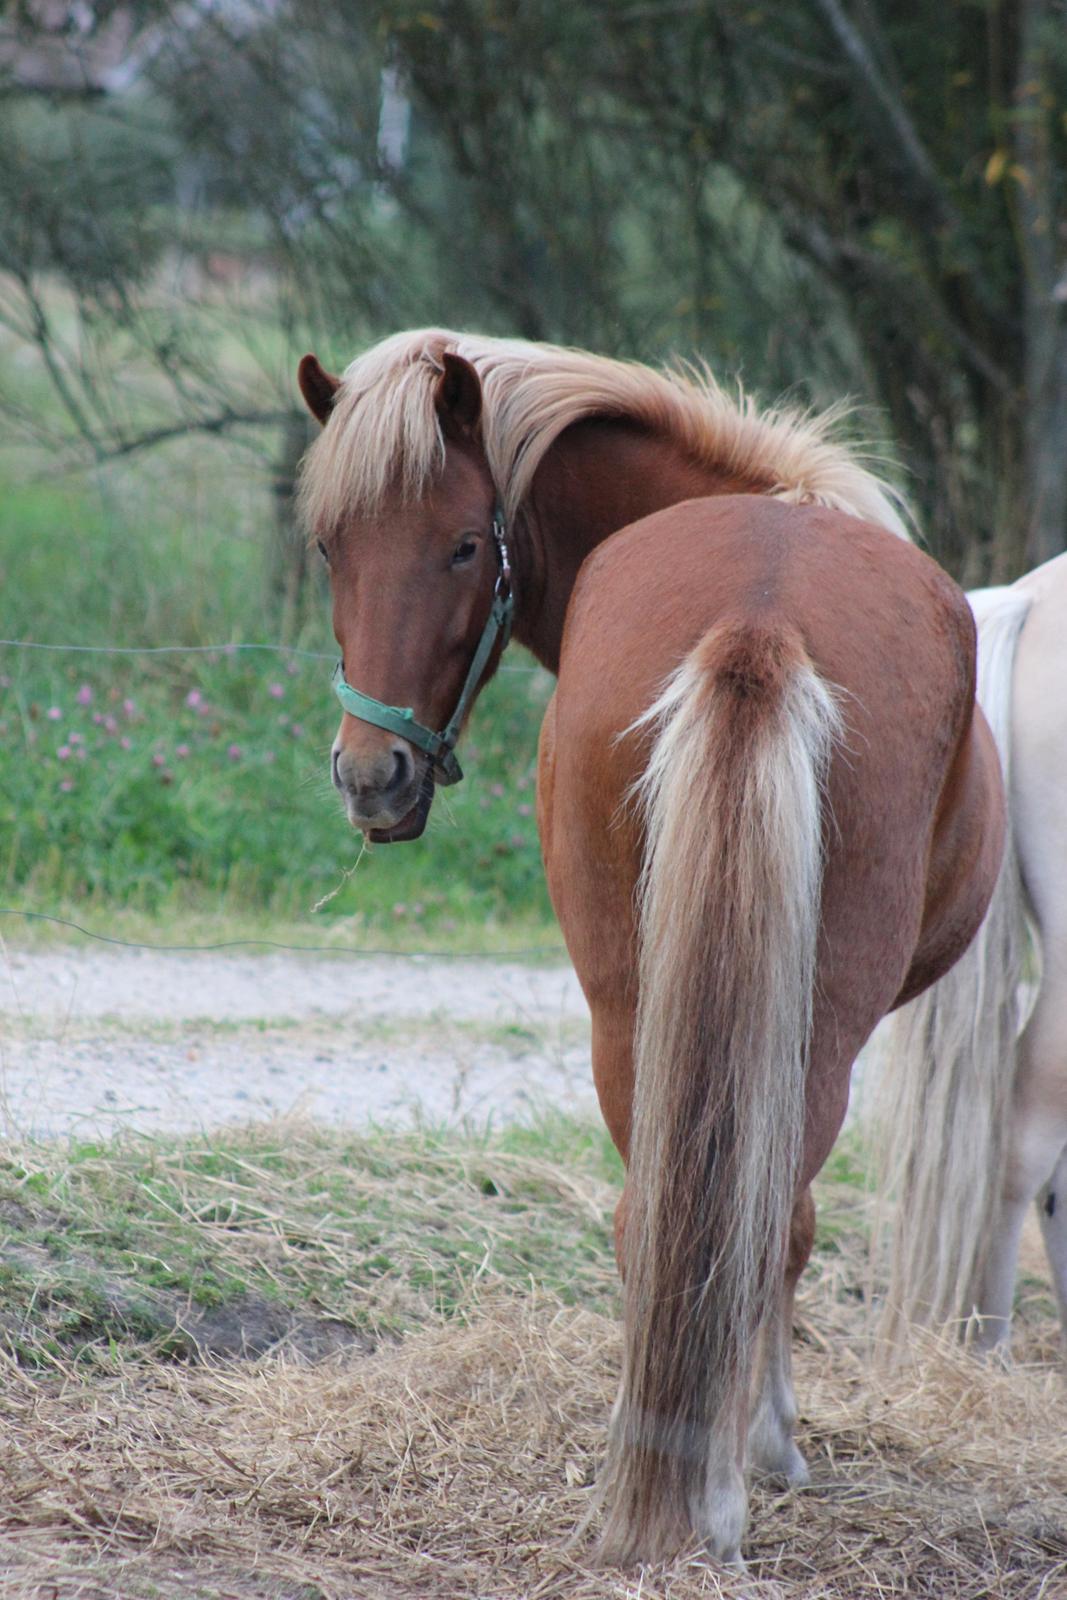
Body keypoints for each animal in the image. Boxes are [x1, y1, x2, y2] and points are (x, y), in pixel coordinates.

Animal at [295, 328, 1004, 1561]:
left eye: (464, 544)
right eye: (334, 546)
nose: (371, 776)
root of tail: (758, 617)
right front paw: (771, 1441)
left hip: (628, 1010)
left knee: (652, 1216)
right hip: (811, 1027)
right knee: (769, 1212)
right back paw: (728, 1469)